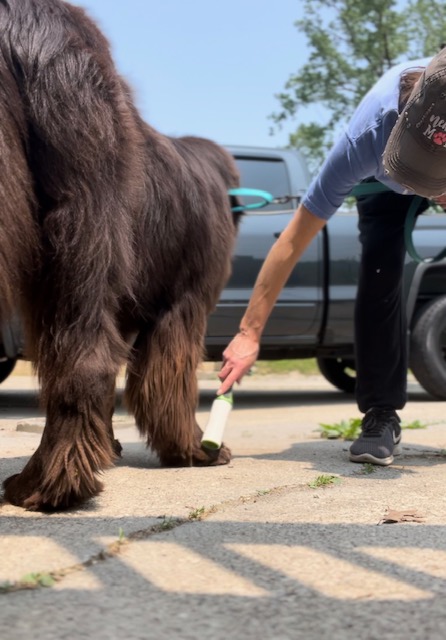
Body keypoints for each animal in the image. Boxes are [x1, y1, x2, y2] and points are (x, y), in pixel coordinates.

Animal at [0, 0, 242, 510]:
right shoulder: (183, 308)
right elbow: (168, 382)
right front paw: (195, 450)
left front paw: (108, 447)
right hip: (86, 235)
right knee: (83, 362)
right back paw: (55, 485)